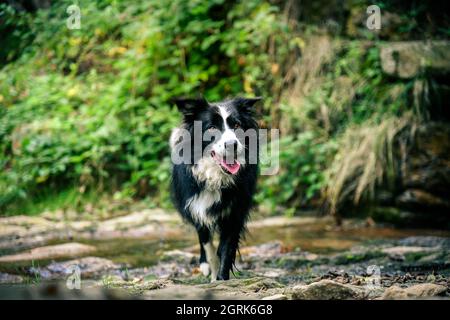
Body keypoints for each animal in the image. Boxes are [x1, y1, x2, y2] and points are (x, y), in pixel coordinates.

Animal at [169, 97, 260, 280]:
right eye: (211, 128)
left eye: (237, 125)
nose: (232, 145)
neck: (215, 177)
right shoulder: (196, 206)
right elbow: (208, 246)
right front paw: (212, 273)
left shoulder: (235, 211)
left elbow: (226, 248)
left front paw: (222, 278)